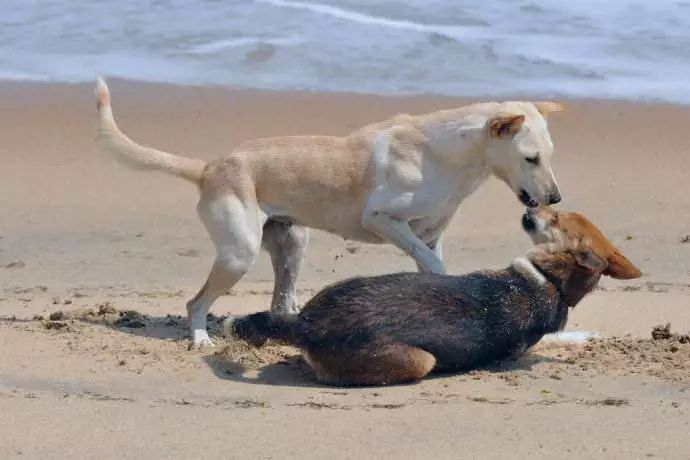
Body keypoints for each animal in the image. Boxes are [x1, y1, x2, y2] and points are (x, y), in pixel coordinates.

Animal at [94, 78, 560, 348]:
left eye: (550, 153)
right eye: (531, 158)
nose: (555, 198)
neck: (449, 154)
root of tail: (210, 167)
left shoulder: (430, 232)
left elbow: (431, 264)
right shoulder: (384, 220)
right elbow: (433, 263)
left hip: (292, 244)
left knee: (282, 300)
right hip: (238, 254)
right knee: (196, 302)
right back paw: (200, 337)